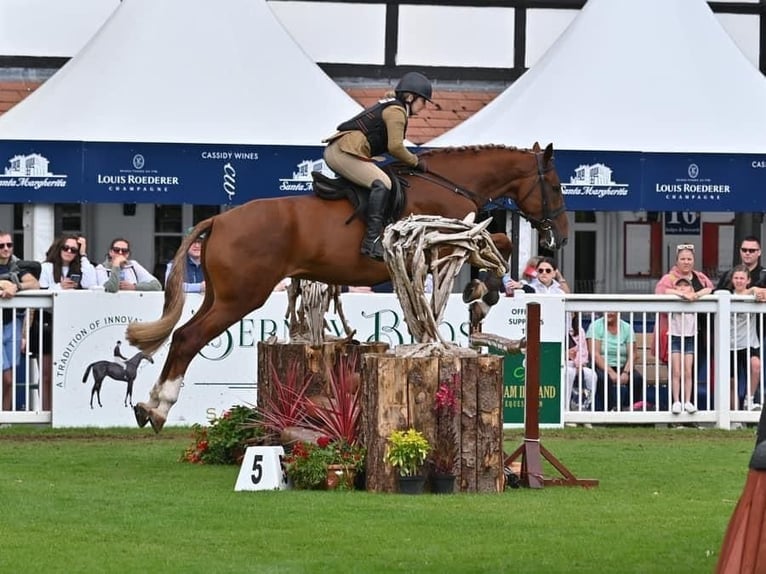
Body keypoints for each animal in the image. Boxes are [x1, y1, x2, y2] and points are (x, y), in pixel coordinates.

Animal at [127, 144, 568, 432]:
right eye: (557, 187)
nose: (559, 239)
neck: (452, 183)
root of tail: (220, 219)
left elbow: (495, 246)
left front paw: (479, 297)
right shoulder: (445, 244)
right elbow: (501, 245)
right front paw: (483, 295)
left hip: (221, 296)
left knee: (182, 334)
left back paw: (149, 404)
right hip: (241, 297)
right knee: (188, 338)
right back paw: (160, 408)